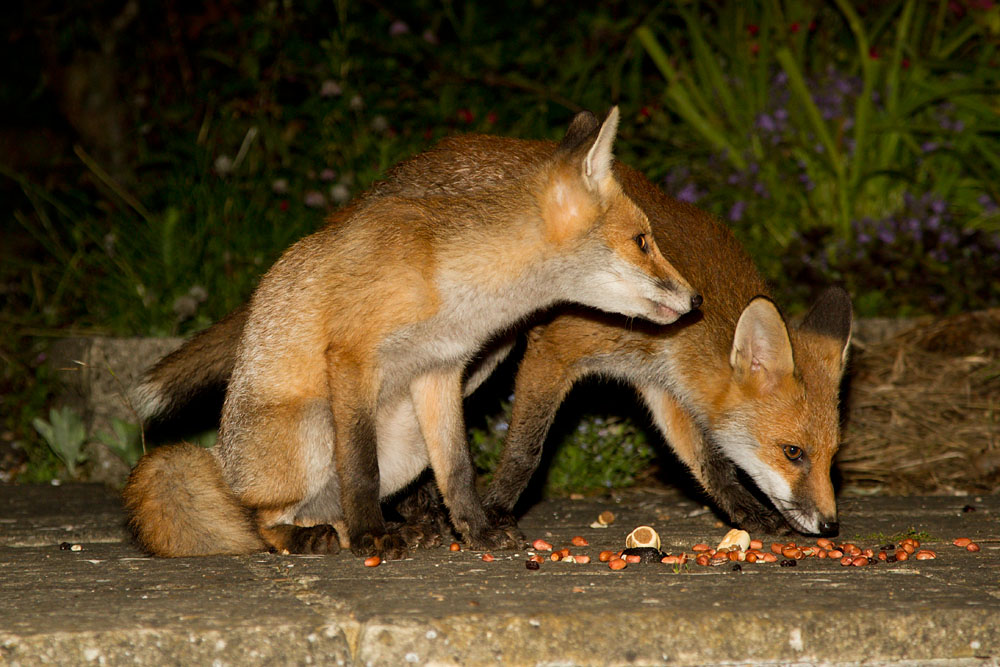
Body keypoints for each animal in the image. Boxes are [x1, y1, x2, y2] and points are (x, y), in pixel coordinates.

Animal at [123, 107, 702, 559]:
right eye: (643, 241)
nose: (697, 300)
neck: (457, 291)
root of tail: (222, 463)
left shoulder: (440, 371)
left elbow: (458, 470)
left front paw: (477, 531)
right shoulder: (353, 355)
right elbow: (360, 468)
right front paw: (373, 538)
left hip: (404, 443)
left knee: (325, 508)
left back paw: (375, 529)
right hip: (312, 428)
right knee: (258, 520)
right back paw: (315, 536)